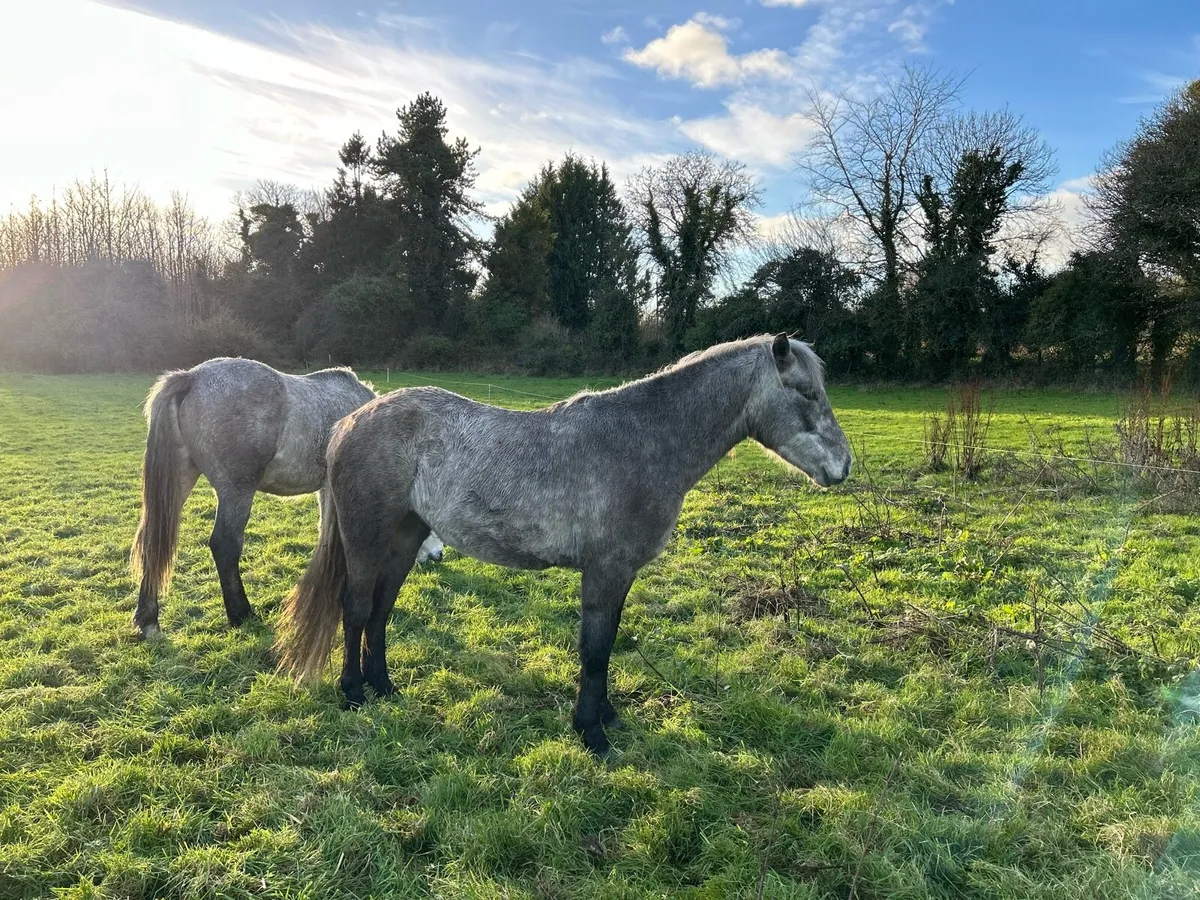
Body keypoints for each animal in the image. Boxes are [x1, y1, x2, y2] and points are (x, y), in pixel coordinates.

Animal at [129, 357, 444, 638]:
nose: (438, 555)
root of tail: (192, 377)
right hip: (237, 490)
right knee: (225, 545)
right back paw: (241, 614)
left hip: (181, 480)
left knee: (151, 539)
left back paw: (148, 619)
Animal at [276, 334, 852, 756]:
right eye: (806, 393)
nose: (842, 467)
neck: (640, 441)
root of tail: (349, 421)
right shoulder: (605, 571)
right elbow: (594, 649)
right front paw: (591, 733)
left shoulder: (619, 575)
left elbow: (609, 643)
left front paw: (606, 717)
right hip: (368, 539)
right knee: (355, 608)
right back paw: (354, 692)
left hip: (403, 539)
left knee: (380, 611)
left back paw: (384, 687)